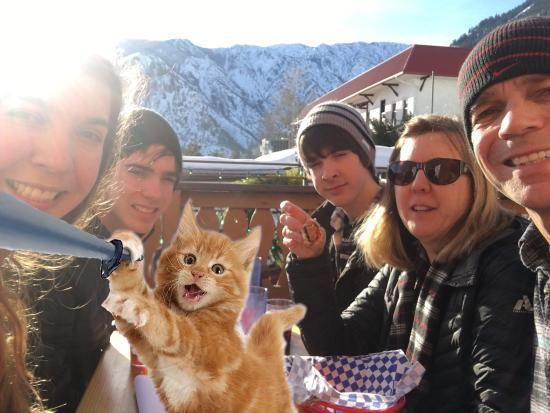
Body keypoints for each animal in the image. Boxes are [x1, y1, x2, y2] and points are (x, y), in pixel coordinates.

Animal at [102, 201, 306, 413]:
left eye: (217, 269)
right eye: (189, 259)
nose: (197, 273)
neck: (186, 312)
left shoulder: (200, 344)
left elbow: (171, 326)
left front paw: (145, 308)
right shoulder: (148, 350)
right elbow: (129, 290)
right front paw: (126, 247)